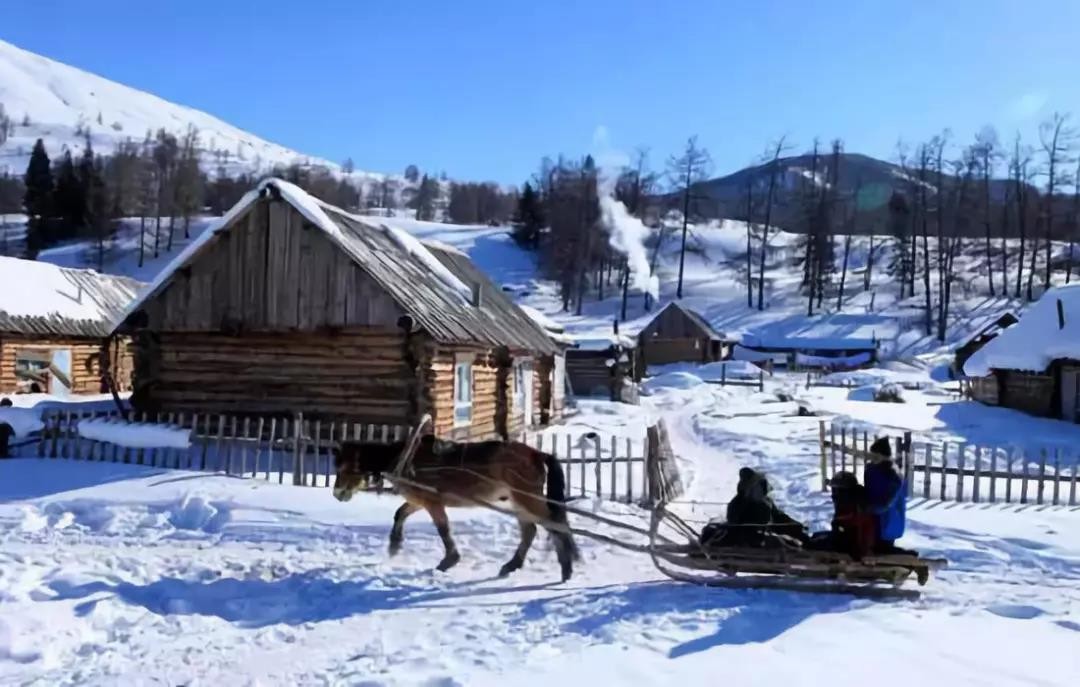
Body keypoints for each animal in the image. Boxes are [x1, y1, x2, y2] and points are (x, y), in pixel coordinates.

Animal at [332, 434, 583, 578]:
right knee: (530, 530)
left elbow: (443, 529)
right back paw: (512, 565)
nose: (337, 494)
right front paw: (394, 545)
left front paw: (448, 560)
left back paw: (566, 567)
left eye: (344, 466)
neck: (407, 459)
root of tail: (538, 454)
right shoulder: (420, 500)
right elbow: (400, 513)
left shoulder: (432, 501)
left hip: (528, 499)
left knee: (555, 524)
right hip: (519, 501)